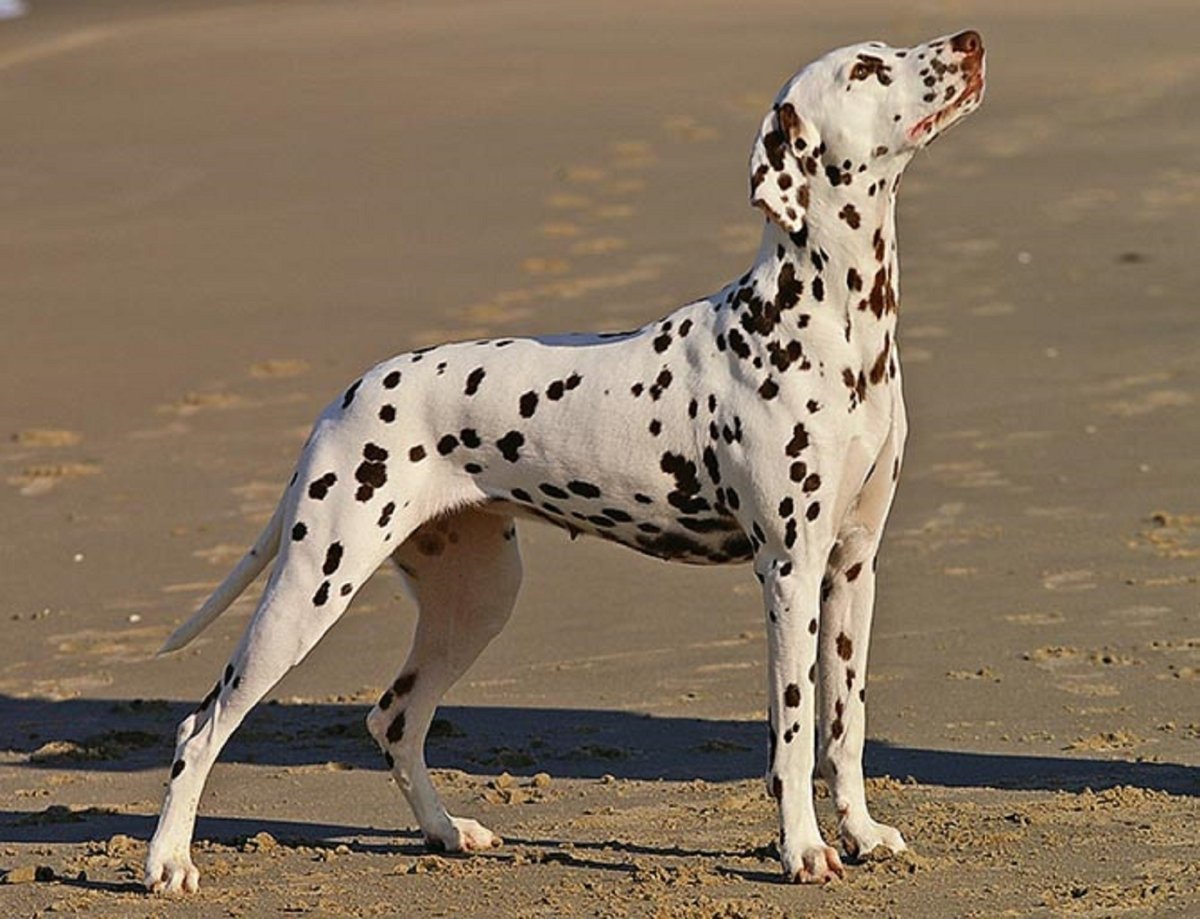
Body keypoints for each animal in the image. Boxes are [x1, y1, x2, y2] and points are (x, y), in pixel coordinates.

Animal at [142, 28, 984, 892]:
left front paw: (861, 831)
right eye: (865, 69)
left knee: (395, 717)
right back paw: (168, 861)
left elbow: (844, 724)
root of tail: (344, 398)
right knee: (201, 726)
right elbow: (792, 728)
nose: (970, 40)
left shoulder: (852, 565)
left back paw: (447, 832)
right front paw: (803, 848)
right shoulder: (789, 569)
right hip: (311, 589)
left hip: (477, 599)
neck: (828, 319)